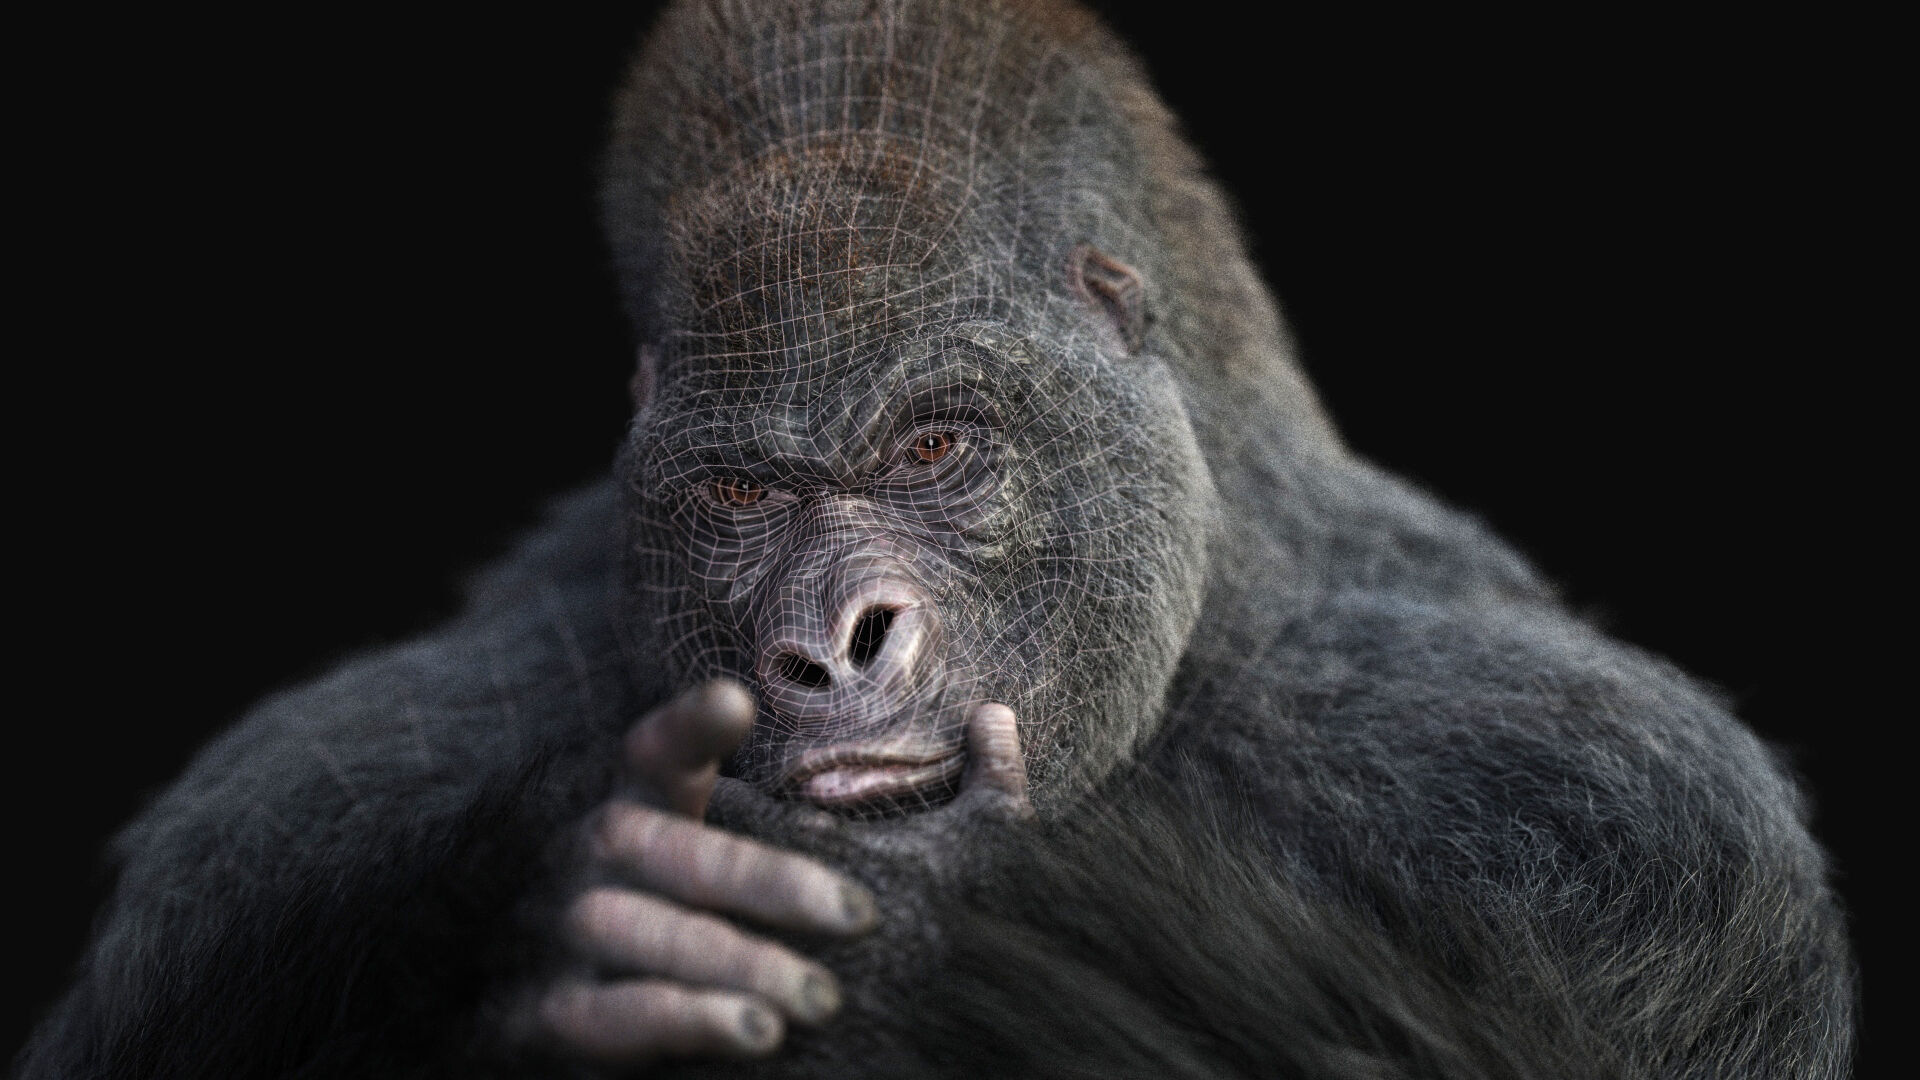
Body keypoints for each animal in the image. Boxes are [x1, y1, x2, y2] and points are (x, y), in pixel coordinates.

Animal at [17, 0, 1855, 1076]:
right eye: (743, 495)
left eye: (937, 447)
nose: (833, 645)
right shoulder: (278, 830)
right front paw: (559, 922)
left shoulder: (1606, 800)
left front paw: (928, 911)